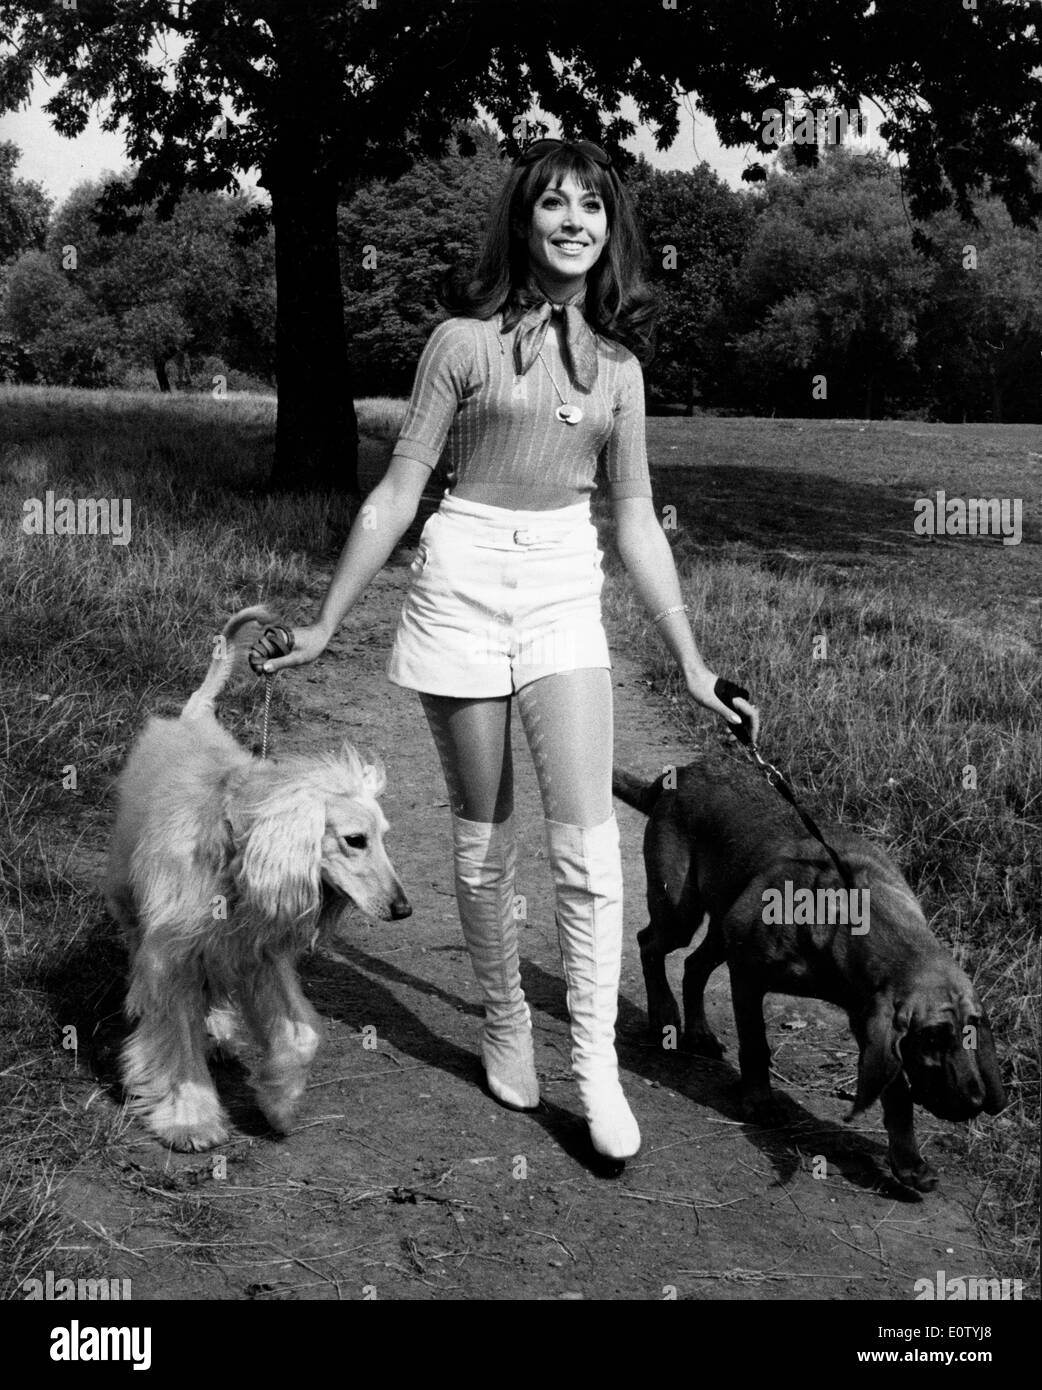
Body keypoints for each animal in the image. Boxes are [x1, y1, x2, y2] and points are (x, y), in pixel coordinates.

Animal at [616, 750, 1005, 1195]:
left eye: (971, 1031)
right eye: (932, 1038)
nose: (975, 1103)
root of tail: (677, 774)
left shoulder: (870, 1020)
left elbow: (897, 1094)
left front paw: (909, 1162)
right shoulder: (748, 976)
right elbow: (756, 1044)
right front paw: (760, 1101)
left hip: (719, 926)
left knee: (693, 966)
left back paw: (698, 1031)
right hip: (681, 911)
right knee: (649, 945)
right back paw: (663, 1014)